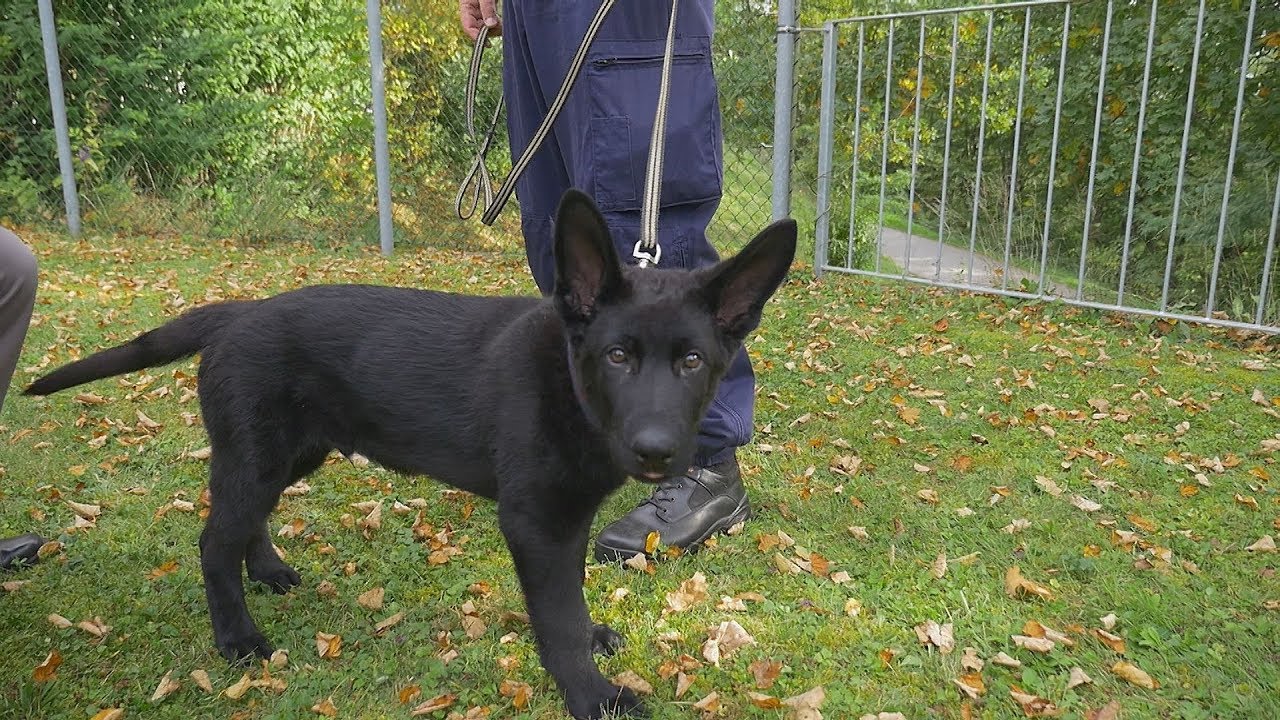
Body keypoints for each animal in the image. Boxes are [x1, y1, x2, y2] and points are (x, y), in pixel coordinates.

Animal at [26, 190, 797, 719]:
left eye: (693, 362)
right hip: (258, 454)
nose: (659, 453)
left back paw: (269, 572)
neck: (572, 387)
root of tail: (238, 311)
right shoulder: (534, 522)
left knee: (242, 525)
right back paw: (238, 638)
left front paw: (596, 640)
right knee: (214, 541)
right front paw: (591, 694)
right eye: (617, 357)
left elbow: (572, 602)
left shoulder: (568, 520)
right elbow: (557, 620)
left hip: (288, 454)